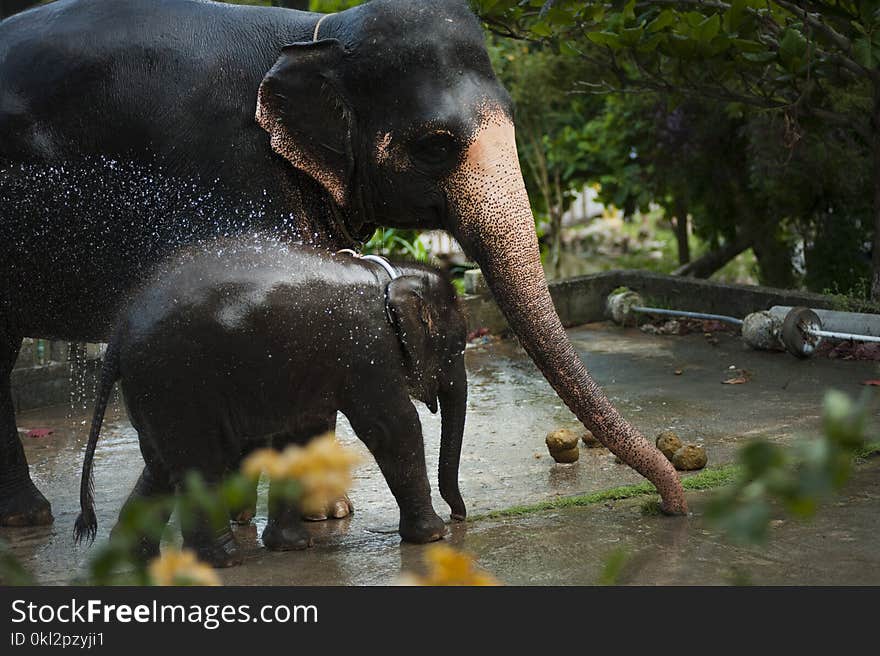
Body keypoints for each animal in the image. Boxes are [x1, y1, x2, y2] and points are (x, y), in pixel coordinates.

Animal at [0, 0, 688, 524]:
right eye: (435, 144)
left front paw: (326, 516)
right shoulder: (230, 171)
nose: (671, 506)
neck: (312, 35)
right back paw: (32, 517)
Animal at [75, 234, 468, 564]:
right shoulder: (369, 350)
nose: (460, 516)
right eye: (459, 347)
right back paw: (224, 560)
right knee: (202, 462)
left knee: (160, 465)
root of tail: (119, 333)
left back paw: (136, 557)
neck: (388, 275)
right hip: (177, 381)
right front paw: (433, 537)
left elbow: (301, 436)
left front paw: (291, 546)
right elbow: (393, 427)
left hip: (155, 391)